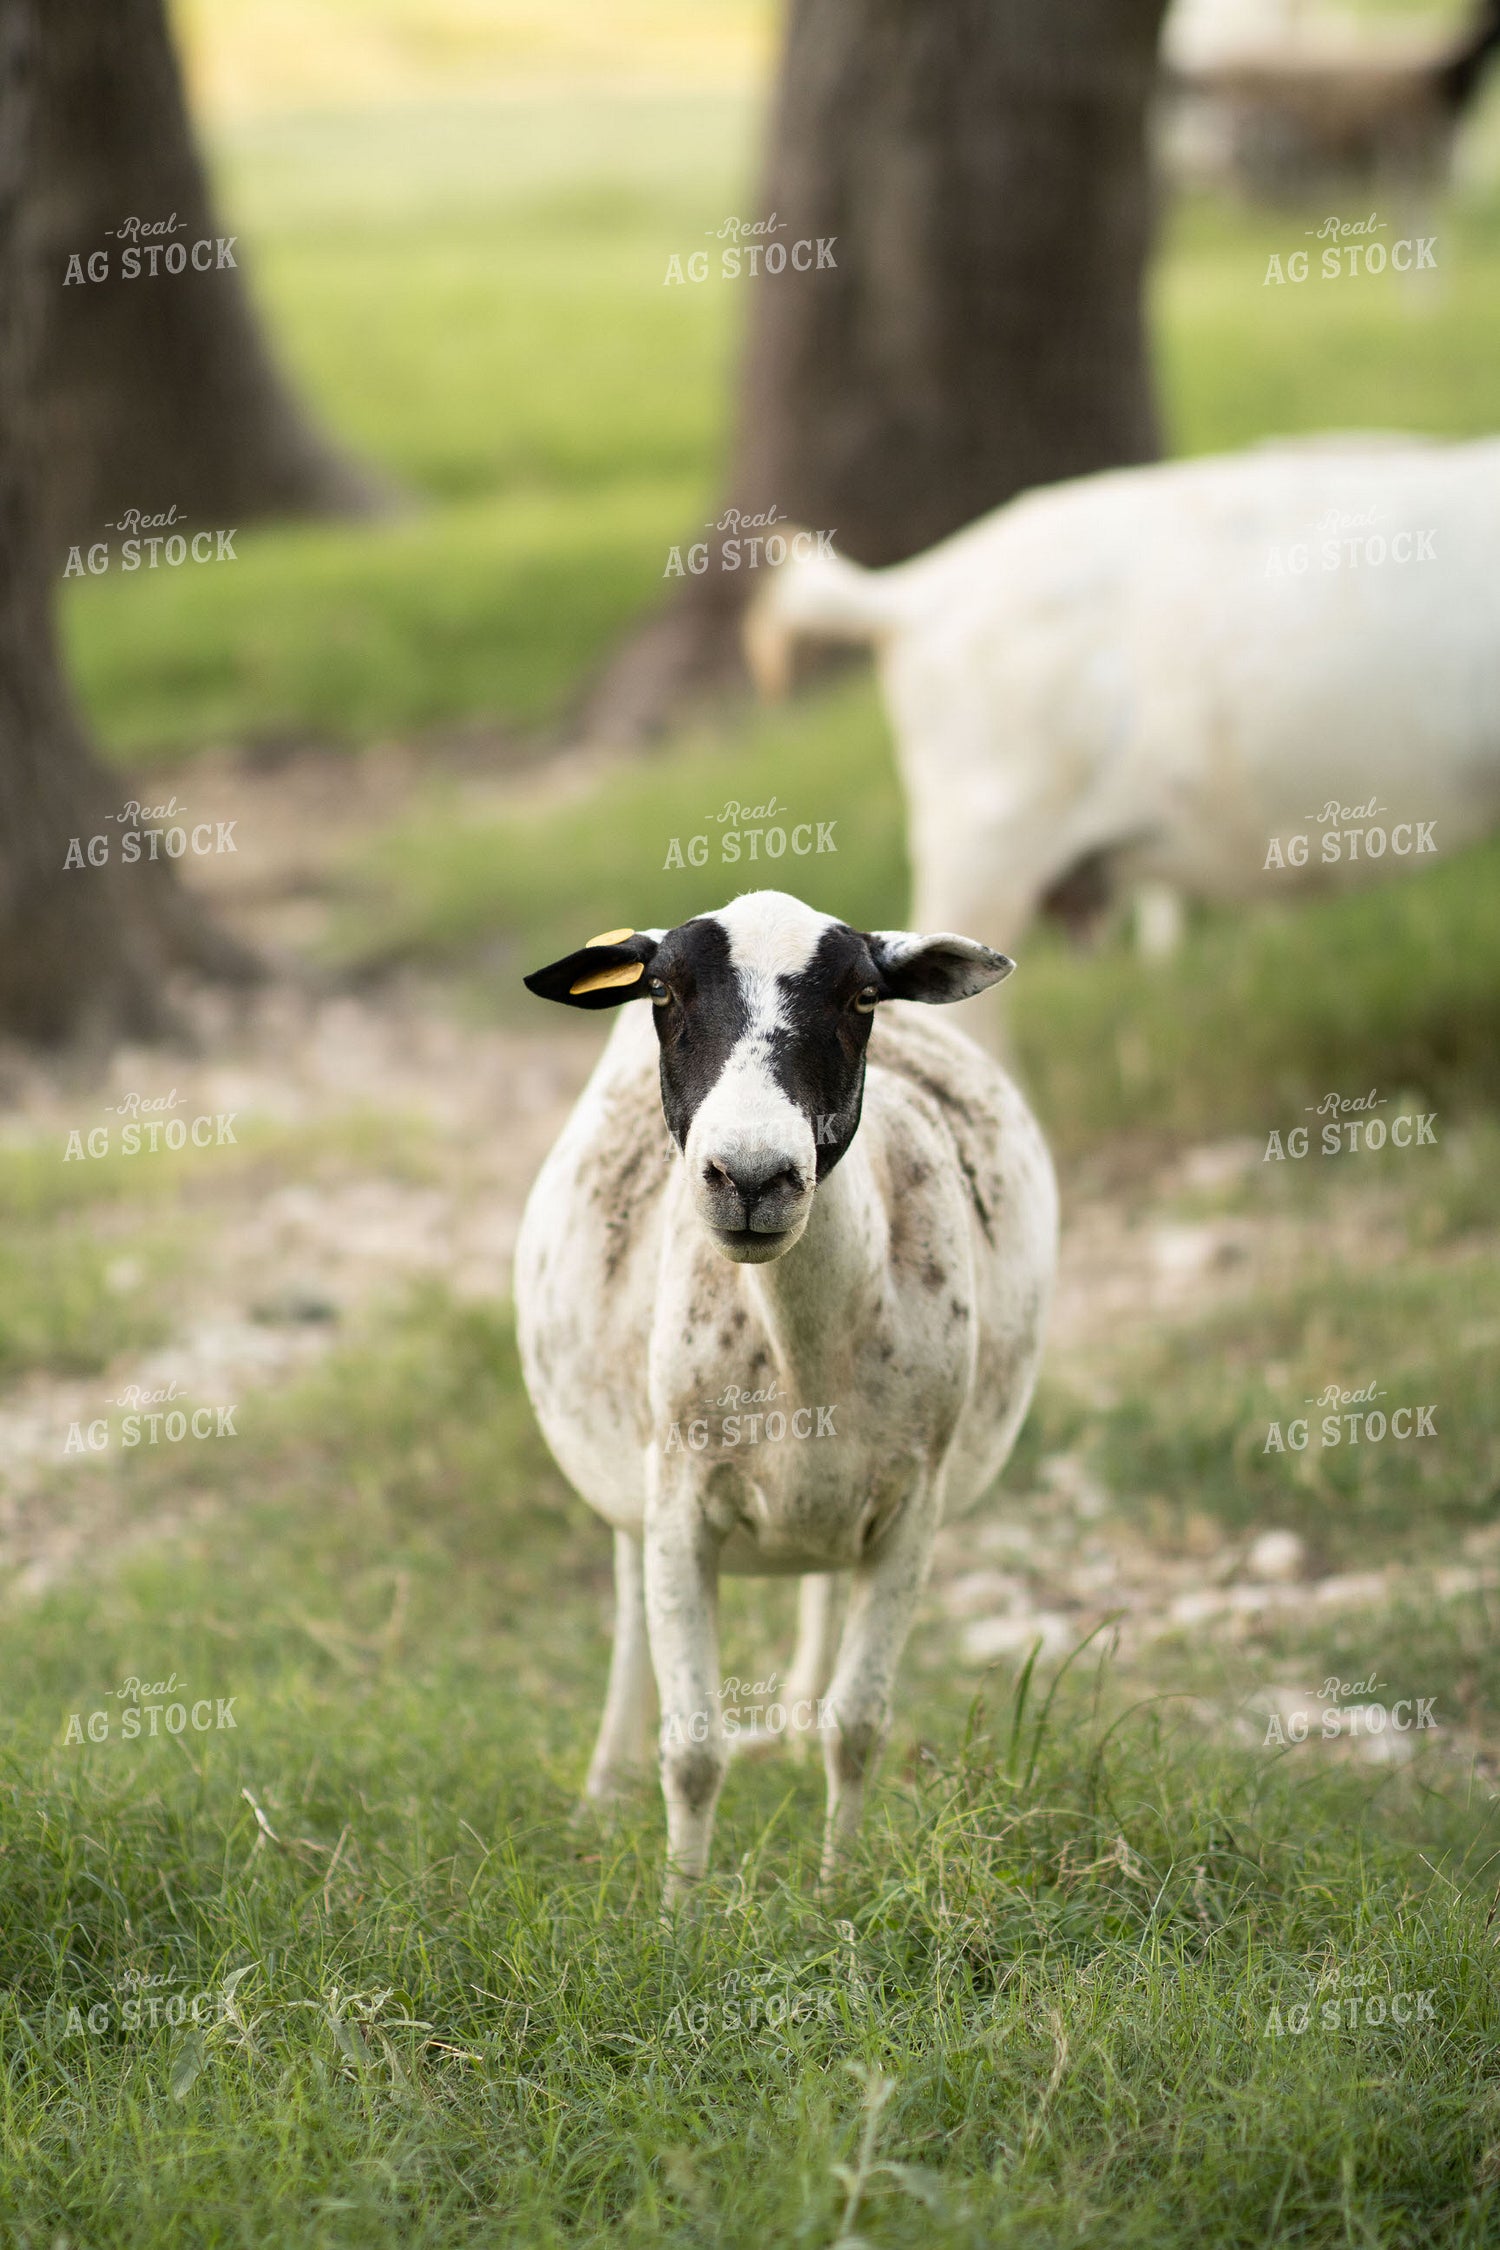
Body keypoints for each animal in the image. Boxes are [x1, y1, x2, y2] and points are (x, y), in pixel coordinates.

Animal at [514, 890, 1056, 1898]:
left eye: (863, 998)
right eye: (662, 991)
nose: (754, 1176)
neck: (806, 1351)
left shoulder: (912, 1506)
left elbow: (859, 1730)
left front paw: (835, 1896)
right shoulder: (680, 1505)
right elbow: (692, 1750)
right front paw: (679, 1914)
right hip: (629, 1480)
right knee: (627, 1617)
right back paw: (602, 1792)